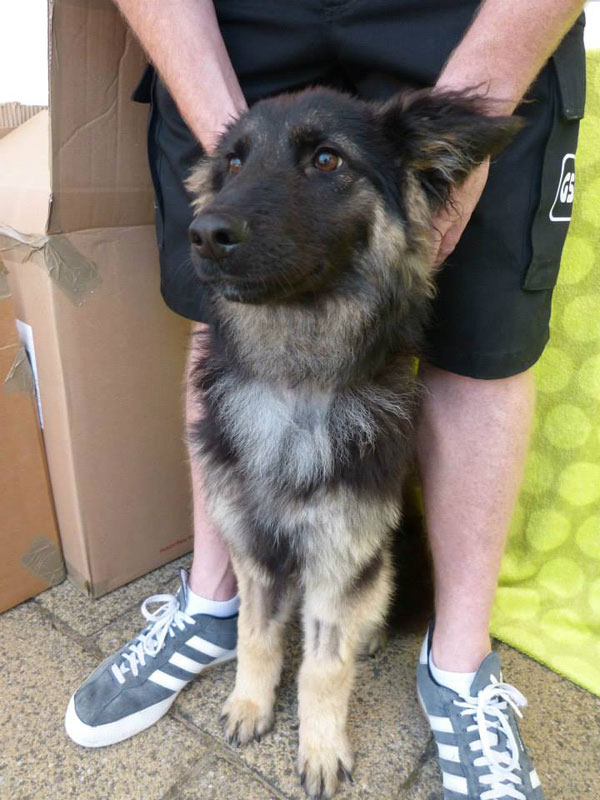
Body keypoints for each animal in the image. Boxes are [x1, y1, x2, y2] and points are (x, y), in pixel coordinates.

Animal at [185, 87, 516, 800]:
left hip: (388, 553)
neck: (295, 381)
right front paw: (250, 705)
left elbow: (323, 667)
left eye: (327, 159)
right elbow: (255, 635)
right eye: (232, 163)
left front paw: (320, 749)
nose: (205, 234)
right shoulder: (254, 548)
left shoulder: (341, 556)